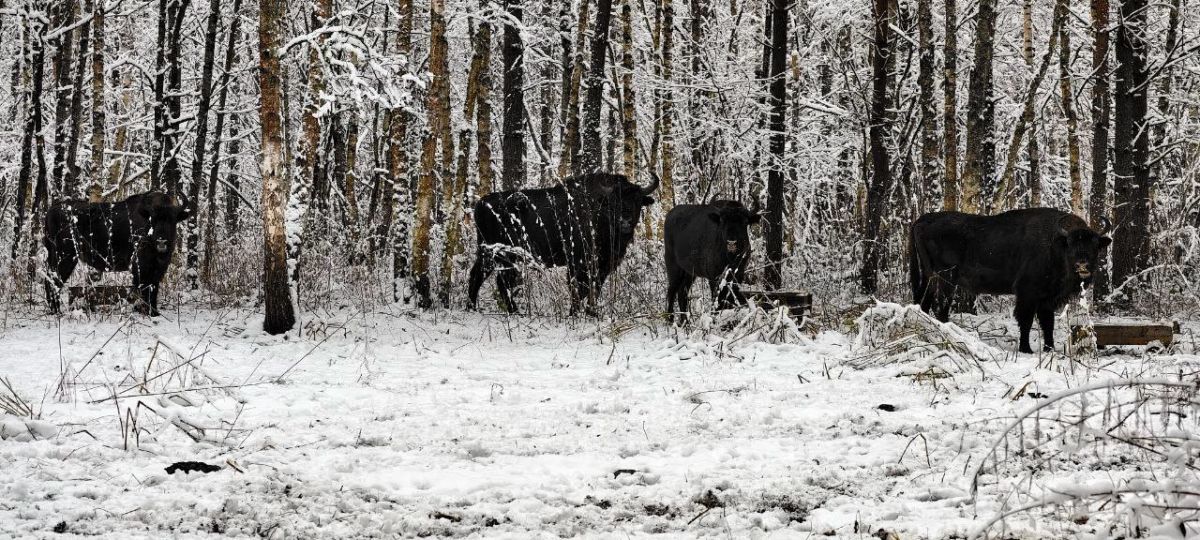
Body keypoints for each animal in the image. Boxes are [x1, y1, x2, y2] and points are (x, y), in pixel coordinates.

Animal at [43, 192, 192, 316]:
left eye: (172, 219)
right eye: (152, 219)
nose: (162, 241)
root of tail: (50, 211)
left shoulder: (158, 268)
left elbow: (153, 288)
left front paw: (154, 312)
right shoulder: (140, 267)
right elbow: (144, 288)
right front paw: (146, 311)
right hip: (65, 257)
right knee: (54, 280)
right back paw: (57, 312)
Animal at [465, 172, 657, 316]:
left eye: (638, 200)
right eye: (613, 202)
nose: (625, 222)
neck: (597, 211)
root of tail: (480, 204)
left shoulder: (603, 265)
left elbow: (594, 287)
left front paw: (592, 313)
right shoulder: (577, 263)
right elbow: (578, 288)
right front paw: (574, 313)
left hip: (492, 255)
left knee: (480, 276)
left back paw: (473, 308)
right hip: (501, 254)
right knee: (497, 280)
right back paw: (512, 311)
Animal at [907, 207, 1113, 355]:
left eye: (1095, 244)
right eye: (1070, 244)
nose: (1082, 265)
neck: (1054, 244)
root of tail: (921, 220)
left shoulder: (1047, 298)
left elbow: (1048, 323)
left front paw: (1050, 349)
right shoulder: (1027, 294)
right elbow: (1026, 320)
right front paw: (1026, 349)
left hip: (929, 277)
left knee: (923, 303)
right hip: (945, 279)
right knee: (940, 307)